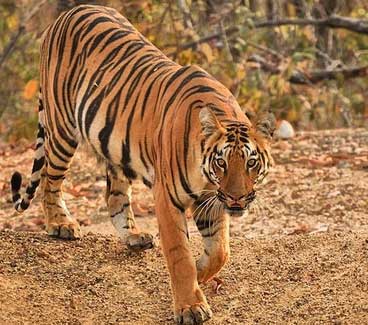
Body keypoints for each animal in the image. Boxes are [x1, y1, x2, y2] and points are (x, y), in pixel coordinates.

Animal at [10, 5, 274, 324]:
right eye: (221, 162)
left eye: (251, 162)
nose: (237, 198)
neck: (206, 176)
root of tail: (67, 13)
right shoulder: (168, 199)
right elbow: (179, 254)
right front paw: (190, 305)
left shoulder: (211, 200)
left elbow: (220, 251)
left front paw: (200, 274)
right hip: (62, 128)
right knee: (50, 179)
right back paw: (61, 224)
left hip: (115, 146)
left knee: (114, 196)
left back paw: (133, 236)